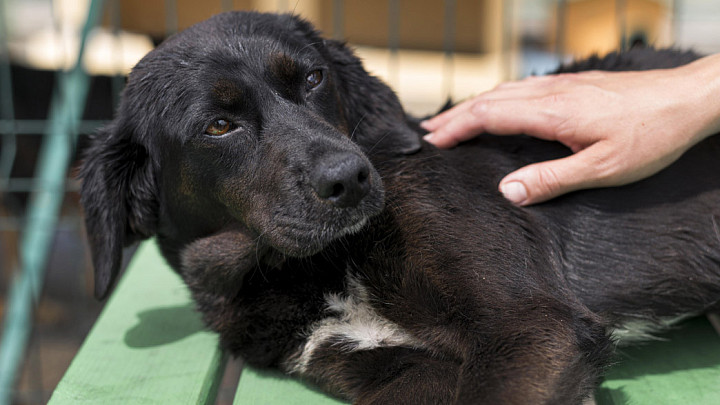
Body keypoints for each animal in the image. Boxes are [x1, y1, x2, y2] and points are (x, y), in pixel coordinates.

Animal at [81, 11, 720, 402]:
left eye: (313, 78)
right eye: (218, 126)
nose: (350, 177)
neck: (311, 268)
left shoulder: (531, 324)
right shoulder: (397, 371)